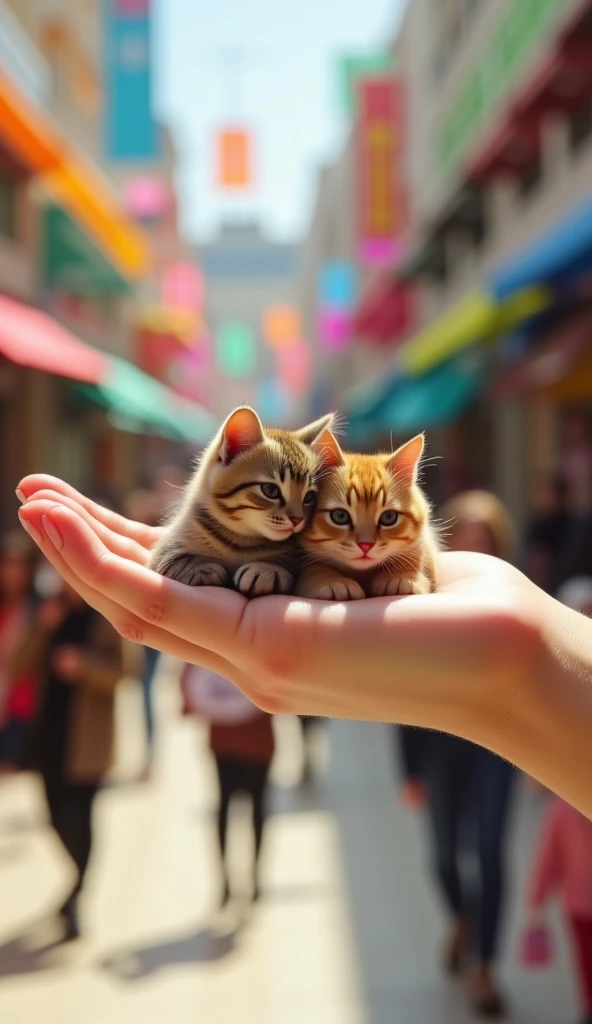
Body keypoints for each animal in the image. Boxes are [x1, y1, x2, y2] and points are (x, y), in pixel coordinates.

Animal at [149, 407, 333, 598]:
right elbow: (174, 559)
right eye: (270, 490)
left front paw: (266, 569)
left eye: (309, 497)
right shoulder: (165, 550)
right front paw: (202, 569)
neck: (241, 541)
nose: (298, 520)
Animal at [294, 430, 438, 598]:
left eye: (388, 517)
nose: (365, 545)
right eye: (340, 516)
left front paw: (401, 577)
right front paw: (332, 581)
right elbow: (315, 569)